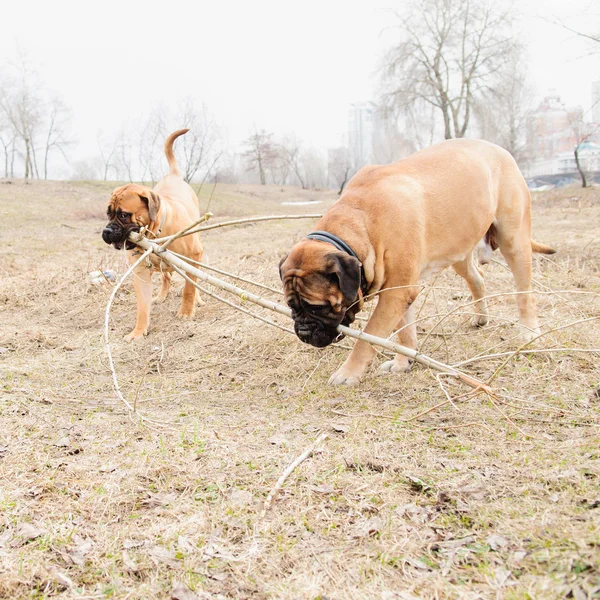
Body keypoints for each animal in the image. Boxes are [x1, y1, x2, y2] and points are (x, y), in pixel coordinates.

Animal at [102, 128, 204, 340]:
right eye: (108, 213)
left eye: (123, 215)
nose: (107, 230)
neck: (155, 235)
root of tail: (173, 176)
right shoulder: (141, 273)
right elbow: (142, 306)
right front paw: (138, 331)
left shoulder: (194, 254)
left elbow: (189, 288)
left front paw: (186, 311)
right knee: (166, 276)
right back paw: (162, 295)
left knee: (193, 278)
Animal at [278, 137, 556, 384]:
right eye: (292, 307)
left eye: (318, 308)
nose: (303, 331)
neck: (361, 223)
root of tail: (501, 150)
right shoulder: (398, 291)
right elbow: (405, 331)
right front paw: (403, 362)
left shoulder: (395, 293)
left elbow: (368, 337)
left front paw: (348, 373)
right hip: (460, 248)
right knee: (478, 278)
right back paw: (481, 318)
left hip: (514, 240)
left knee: (524, 293)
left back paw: (530, 332)